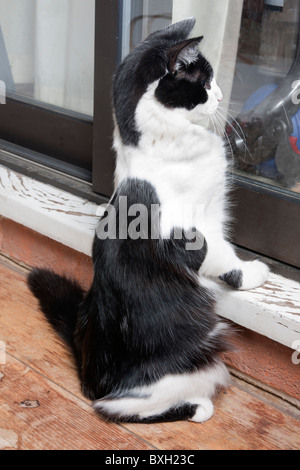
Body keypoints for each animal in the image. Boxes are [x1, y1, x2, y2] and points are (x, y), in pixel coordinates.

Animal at [28, 18, 270, 424]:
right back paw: (198, 407)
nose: (221, 96)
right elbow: (226, 259)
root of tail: (91, 374)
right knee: (122, 409)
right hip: (193, 364)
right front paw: (255, 273)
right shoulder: (195, 232)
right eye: (205, 82)